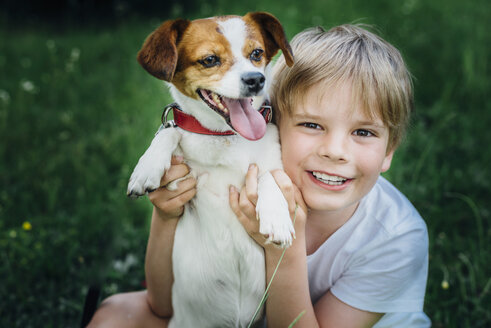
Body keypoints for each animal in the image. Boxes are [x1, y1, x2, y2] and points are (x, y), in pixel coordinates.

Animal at [129, 11, 294, 326]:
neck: (227, 137)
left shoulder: (278, 166)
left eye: (257, 54)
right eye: (209, 60)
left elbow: (268, 175)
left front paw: (277, 218)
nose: (256, 79)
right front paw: (147, 166)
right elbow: (169, 132)